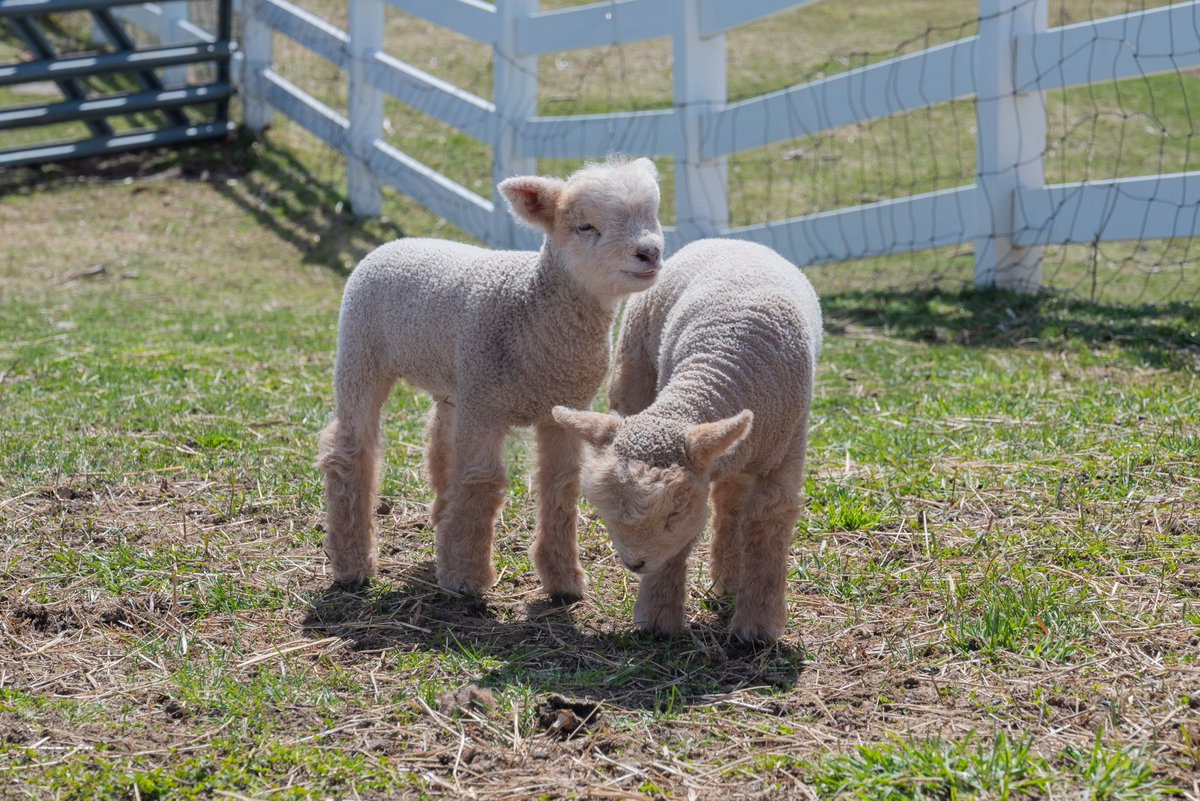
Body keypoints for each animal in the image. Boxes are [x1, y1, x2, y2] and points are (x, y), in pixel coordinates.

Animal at [319, 155, 667, 597]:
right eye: (585, 226)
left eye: (652, 215)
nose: (649, 252)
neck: (532, 311)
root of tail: (396, 243)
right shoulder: (485, 404)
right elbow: (481, 482)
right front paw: (467, 577)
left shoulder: (565, 407)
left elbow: (561, 484)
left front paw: (564, 578)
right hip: (361, 353)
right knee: (349, 451)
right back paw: (352, 562)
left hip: (456, 385)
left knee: (441, 446)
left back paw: (441, 523)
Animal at [549, 237, 816, 642]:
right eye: (605, 511)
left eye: (673, 512)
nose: (635, 563)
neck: (721, 368)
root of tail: (728, 239)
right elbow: (682, 542)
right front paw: (658, 615)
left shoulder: (784, 454)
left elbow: (767, 523)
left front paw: (758, 626)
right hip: (635, 369)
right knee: (728, 499)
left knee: (732, 499)